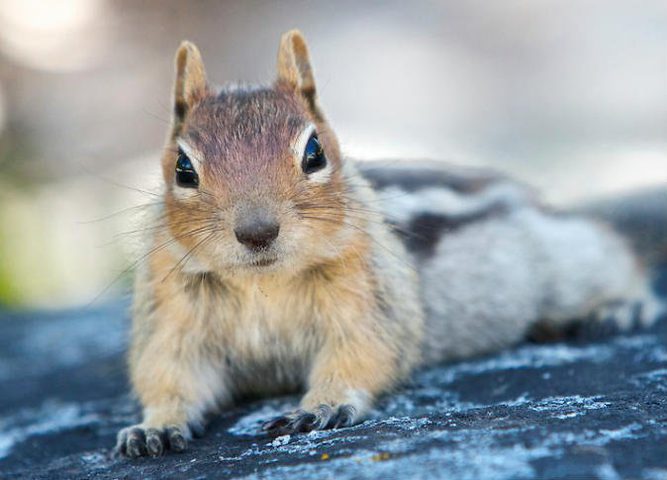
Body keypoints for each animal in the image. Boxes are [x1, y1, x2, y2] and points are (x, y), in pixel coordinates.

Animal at [115, 30, 664, 458]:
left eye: (314, 152)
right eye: (184, 168)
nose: (256, 231)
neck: (262, 283)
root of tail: (519, 191)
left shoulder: (369, 294)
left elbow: (363, 351)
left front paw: (321, 406)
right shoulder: (170, 312)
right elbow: (170, 373)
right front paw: (153, 426)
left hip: (566, 261)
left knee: (612, 256)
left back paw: (622, 306)